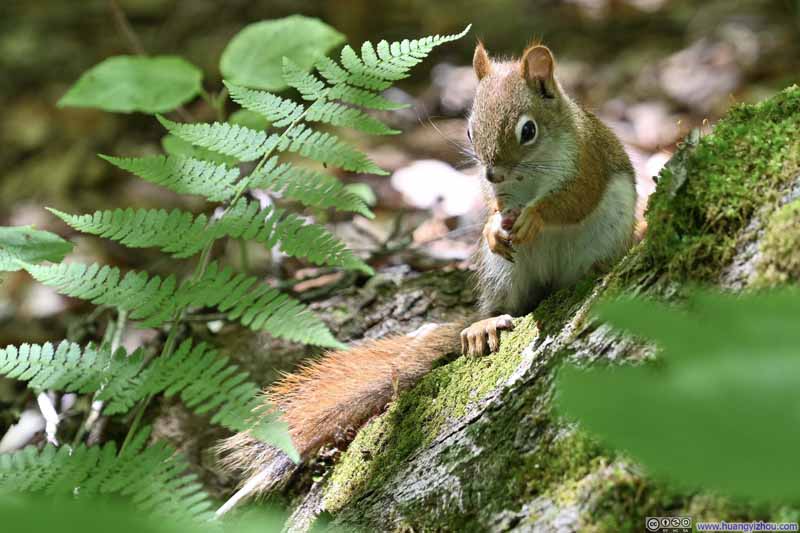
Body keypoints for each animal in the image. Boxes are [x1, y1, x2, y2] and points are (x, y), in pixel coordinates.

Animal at [214, 42, 638, 516]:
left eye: (527, 130)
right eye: (470, 130)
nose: (492, 174)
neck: (529, 174)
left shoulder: (587, 160)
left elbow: (573, 201)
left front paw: (537, 216)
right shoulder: (500, 195)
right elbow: (496, 210)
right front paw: (492, 226)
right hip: (502, 273)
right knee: (507, 308)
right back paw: (483, 325)